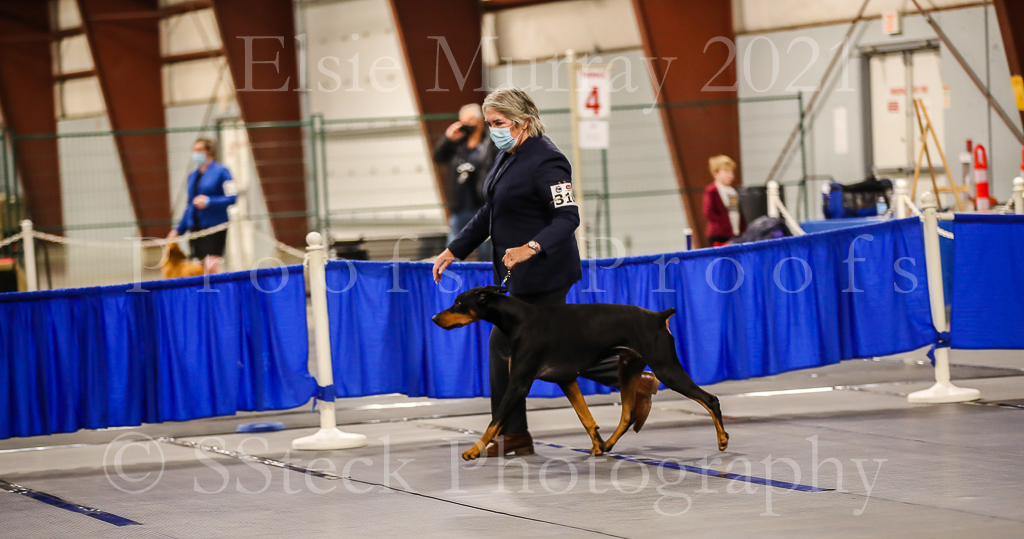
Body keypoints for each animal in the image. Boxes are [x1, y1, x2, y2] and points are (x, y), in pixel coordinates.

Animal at [433, 285, 729, 461]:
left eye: (458, 302)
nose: (435, 318)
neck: (520, 320)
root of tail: (658, 315)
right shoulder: (566, 379)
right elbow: (585, 417)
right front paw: (597, 443)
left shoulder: (519, 383)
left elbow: (494, 421)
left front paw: (473, 450)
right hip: (627, 368)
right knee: (628, 414)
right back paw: (608, 444)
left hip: (666, 368)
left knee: (710, 399)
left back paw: (723, 439)